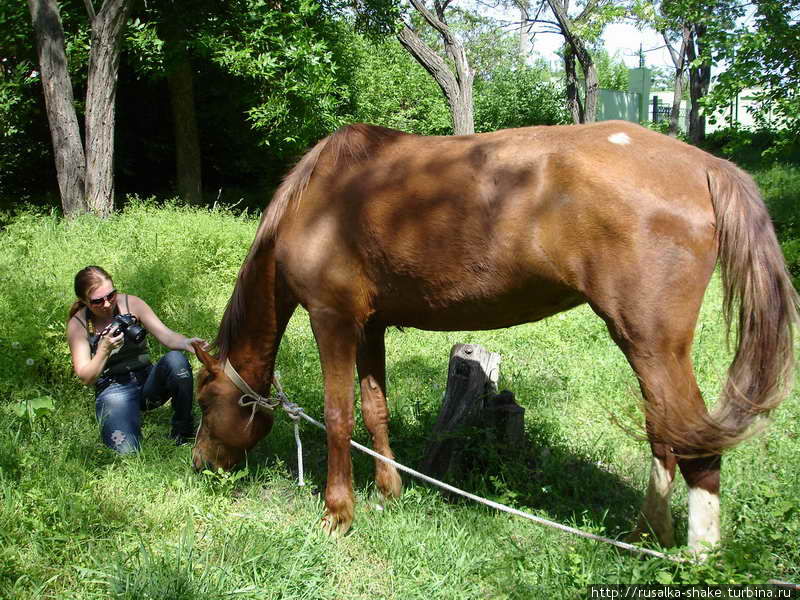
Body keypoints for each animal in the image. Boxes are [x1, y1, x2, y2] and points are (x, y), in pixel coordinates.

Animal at [191, 122, 796, 552]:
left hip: (650, 343)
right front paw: (389, 491)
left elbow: (339, 416)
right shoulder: (371, 326)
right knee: (663, 436)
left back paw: (692, 556)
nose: (199, 464)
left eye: (202, 400)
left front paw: (338, 515)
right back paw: (647, 537)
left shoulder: (332, 319)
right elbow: (374, 408)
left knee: (693, 445)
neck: (318, 197)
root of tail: (705, 166)